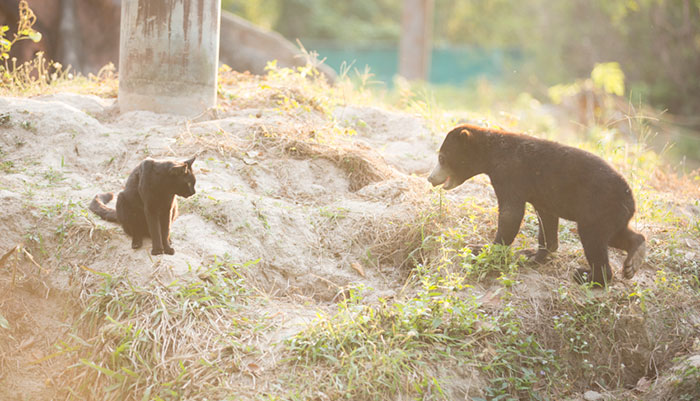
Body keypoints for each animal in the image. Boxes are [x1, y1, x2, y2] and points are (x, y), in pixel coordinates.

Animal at [428, 124, 646, 286]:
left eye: (441, 157)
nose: (430, 178)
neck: (492, 154)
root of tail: (631, 200)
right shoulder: (543, 196)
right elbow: (546, 219)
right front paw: (534, 255)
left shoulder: (510, 173)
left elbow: (511, 213)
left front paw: (482, 249)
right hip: (611, 213)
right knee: (614, 235)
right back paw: (634, 258)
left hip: (598, 205)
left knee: (593, 238)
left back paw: (590, 277)